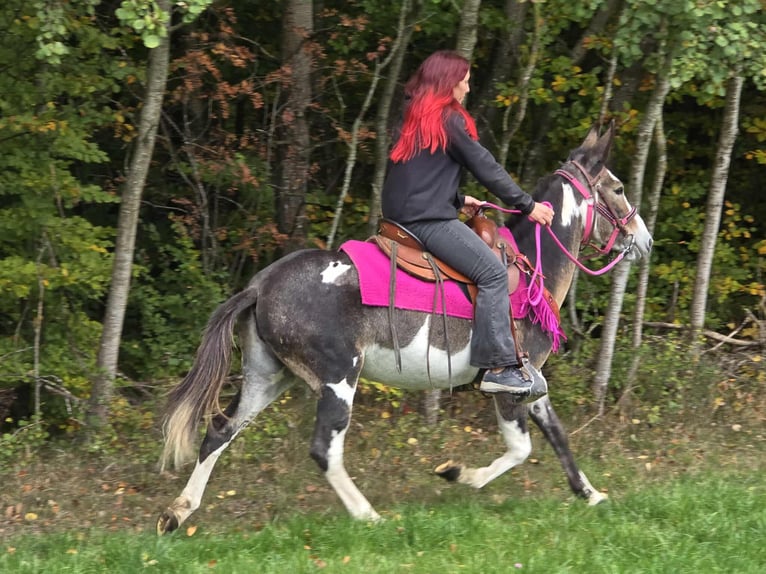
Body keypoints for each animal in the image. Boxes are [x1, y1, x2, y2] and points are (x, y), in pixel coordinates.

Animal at [156, 122, 653, 534]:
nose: (644, 240)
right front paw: (459, 474)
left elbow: (557, 434)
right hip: (338, 378)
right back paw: (368, 515)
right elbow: (520, 449)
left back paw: (178, 512)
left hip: (267, 376)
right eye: (618, 187)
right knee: (324, 448)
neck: (534, 269)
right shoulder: (509, 384)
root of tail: (260, 286)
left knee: (220, 430)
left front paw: (590, 494)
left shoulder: (532, 380)